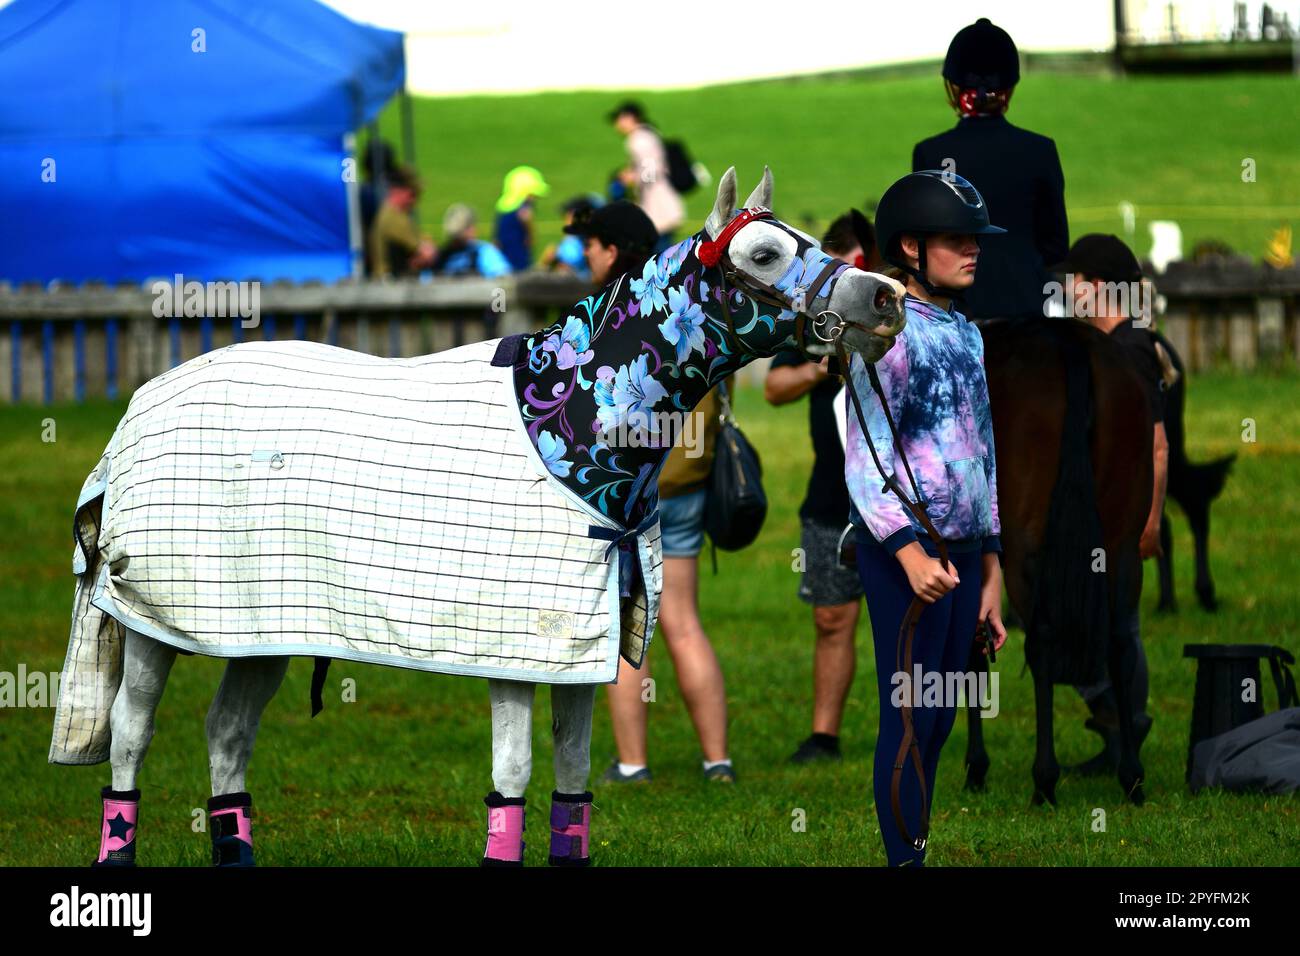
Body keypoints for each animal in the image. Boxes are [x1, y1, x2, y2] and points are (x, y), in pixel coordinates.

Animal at [50, 164, 904, 868]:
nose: (886, 298)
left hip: (259, 626)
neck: (578, 425)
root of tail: (141, 406)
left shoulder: (575, 653)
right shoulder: (515, 649)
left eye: (809, 241)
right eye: (762, 253)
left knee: (227, 735)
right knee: (132, 736)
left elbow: (572, 783)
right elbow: (513, 780)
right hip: (157, 622)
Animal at [961, 319, 1154, 806]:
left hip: (1026, 550)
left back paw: (1044, 780)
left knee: (1042, 642)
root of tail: (1069, 343)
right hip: (1122, 544)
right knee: (1120, 640)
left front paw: (976, 768)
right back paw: (1132, 777)